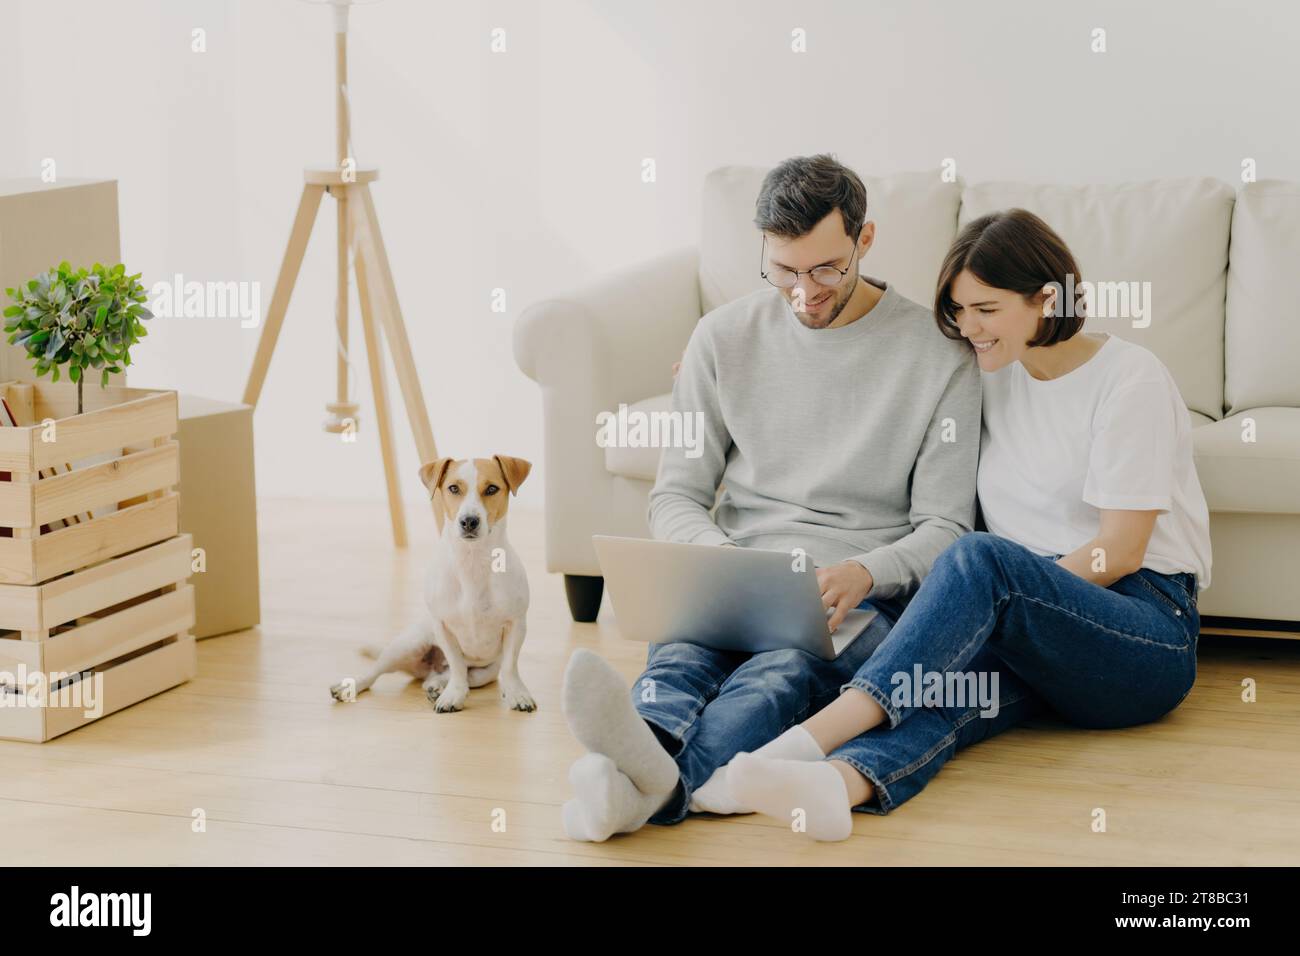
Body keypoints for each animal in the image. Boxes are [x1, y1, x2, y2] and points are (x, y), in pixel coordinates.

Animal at [335, 460, 538, 712]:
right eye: (453, 488)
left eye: (492, 488)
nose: (469, 521)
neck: (472, 561)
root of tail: (427, 668)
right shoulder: (442, 626)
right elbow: (457, 665)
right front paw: (454, 695)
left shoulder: (516, 624)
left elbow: (509, 666)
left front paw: (516, 694)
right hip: (408, 645)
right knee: (375, 672)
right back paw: (351, 686)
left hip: (485, 672)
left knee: (454, 676)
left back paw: (436, 686)